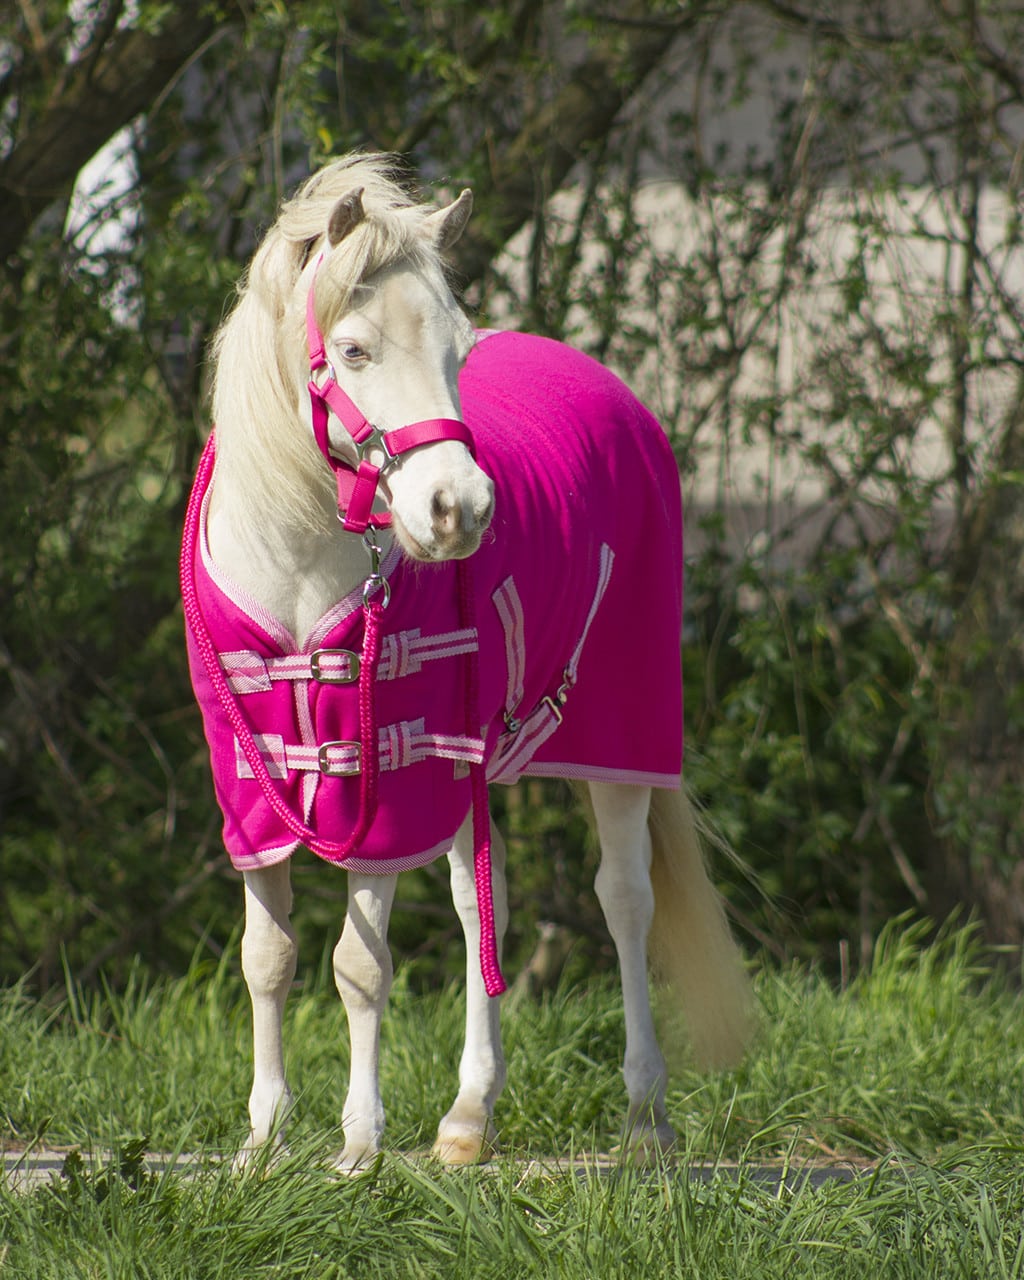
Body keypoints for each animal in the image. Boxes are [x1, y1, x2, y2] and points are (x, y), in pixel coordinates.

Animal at [180, 152, 747, 1172]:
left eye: (458, 350)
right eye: (353, 351)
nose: (461, 510)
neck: (296, 563)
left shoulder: (386, 782)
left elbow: (358, 966)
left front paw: (358, 1146)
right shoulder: (254, 789)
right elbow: (268, 959)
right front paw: (262, 1138)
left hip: (619, 742)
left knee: (625, 900)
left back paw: (645, 1116)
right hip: (468, 757)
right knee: (482, 902)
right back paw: (470, 1115)